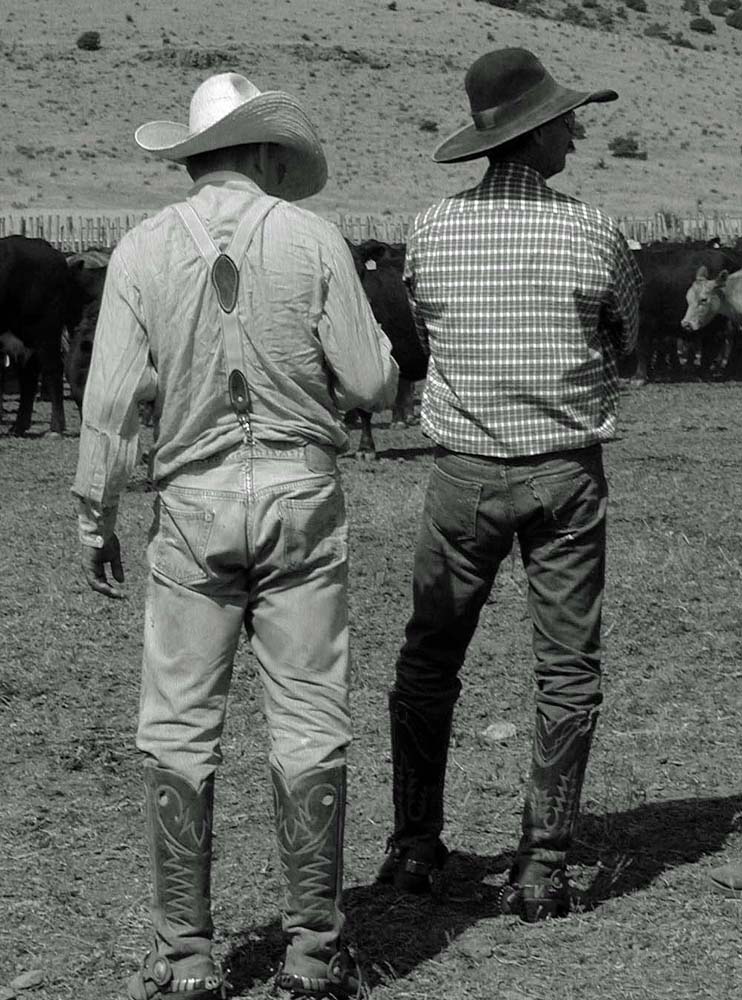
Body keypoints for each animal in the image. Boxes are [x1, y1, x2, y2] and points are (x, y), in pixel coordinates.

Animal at [0, 238, 100, 438]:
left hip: (44, 331)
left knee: (53, 370)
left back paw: (55, 428)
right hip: (23, 338)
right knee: (29, 376)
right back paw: (18, 427)